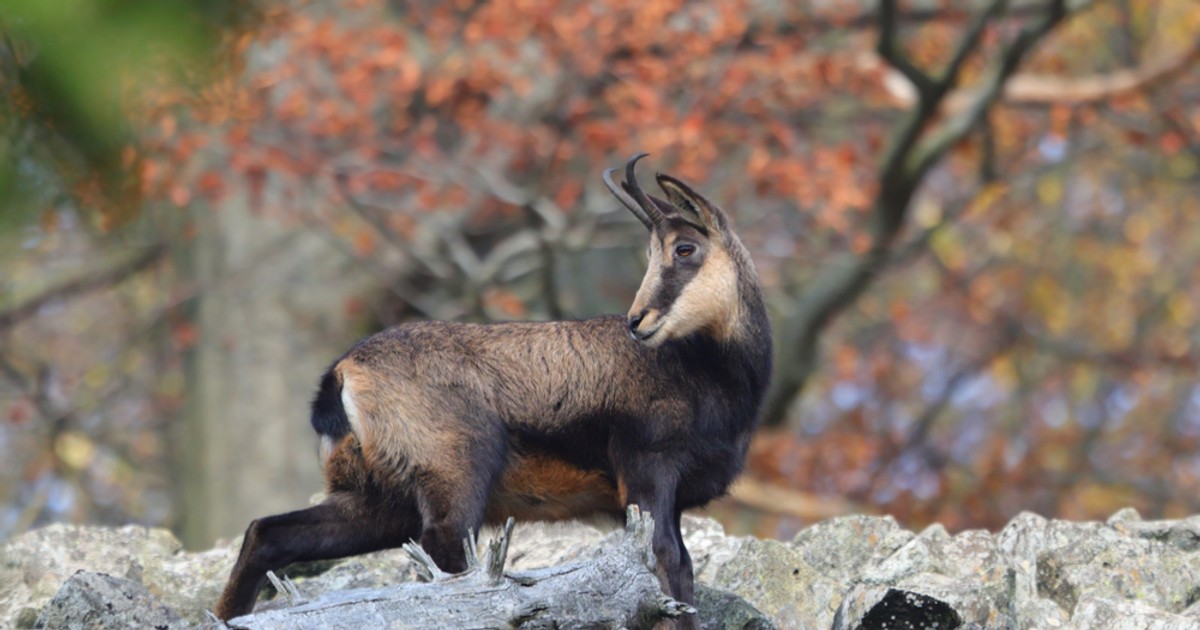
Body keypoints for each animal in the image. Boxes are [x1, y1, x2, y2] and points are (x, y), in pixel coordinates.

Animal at [215, 154, 773, 627]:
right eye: (659, 252)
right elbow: (666, 564)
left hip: (376, 499)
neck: (701, 369)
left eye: (684, 248)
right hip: (453, 480)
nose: (639, 321)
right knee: (445, 567)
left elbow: (682, 570)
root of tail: (343, 374)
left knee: (268, 533)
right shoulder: (647, 471)